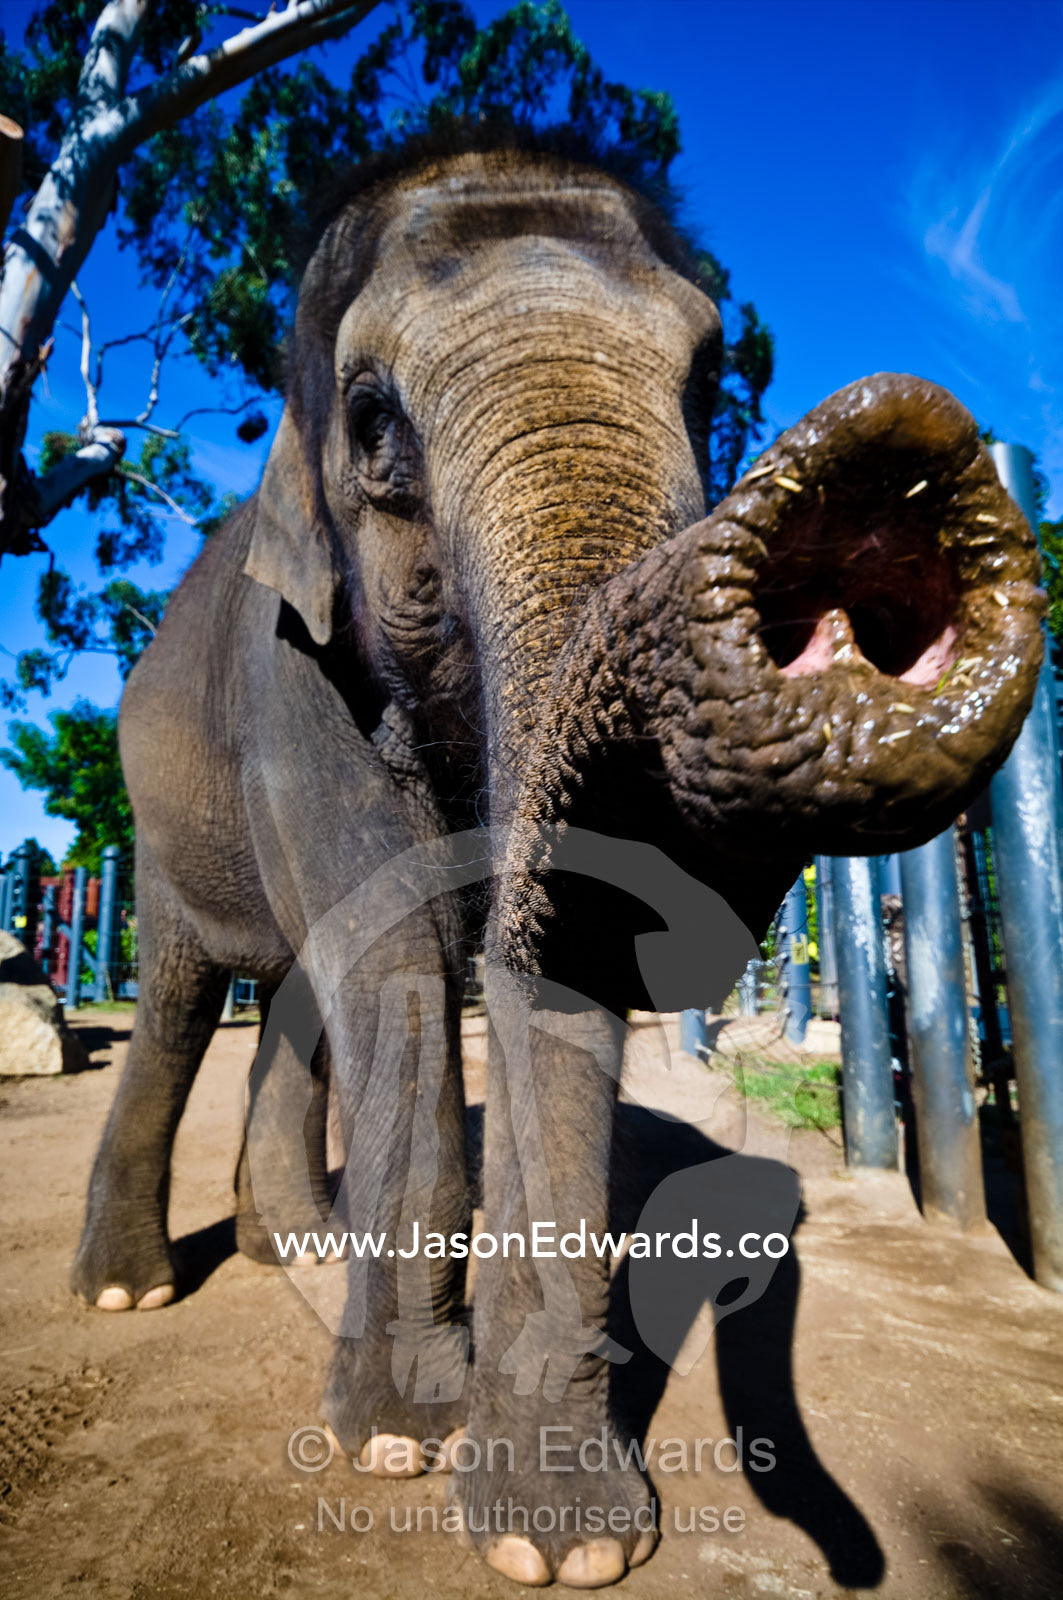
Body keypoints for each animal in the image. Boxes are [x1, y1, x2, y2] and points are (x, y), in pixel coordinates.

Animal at [72, 127, 1043, 1589]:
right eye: (371, 417)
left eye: (706, 378)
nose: (883, 447)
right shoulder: (284, 672)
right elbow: (400, 957)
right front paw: (396, 1441)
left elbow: (548, 968)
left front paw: (562, 1540)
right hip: (159, 819)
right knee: (187, 997)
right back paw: (128, 1287)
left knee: (291, 999)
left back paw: (291, 1242)